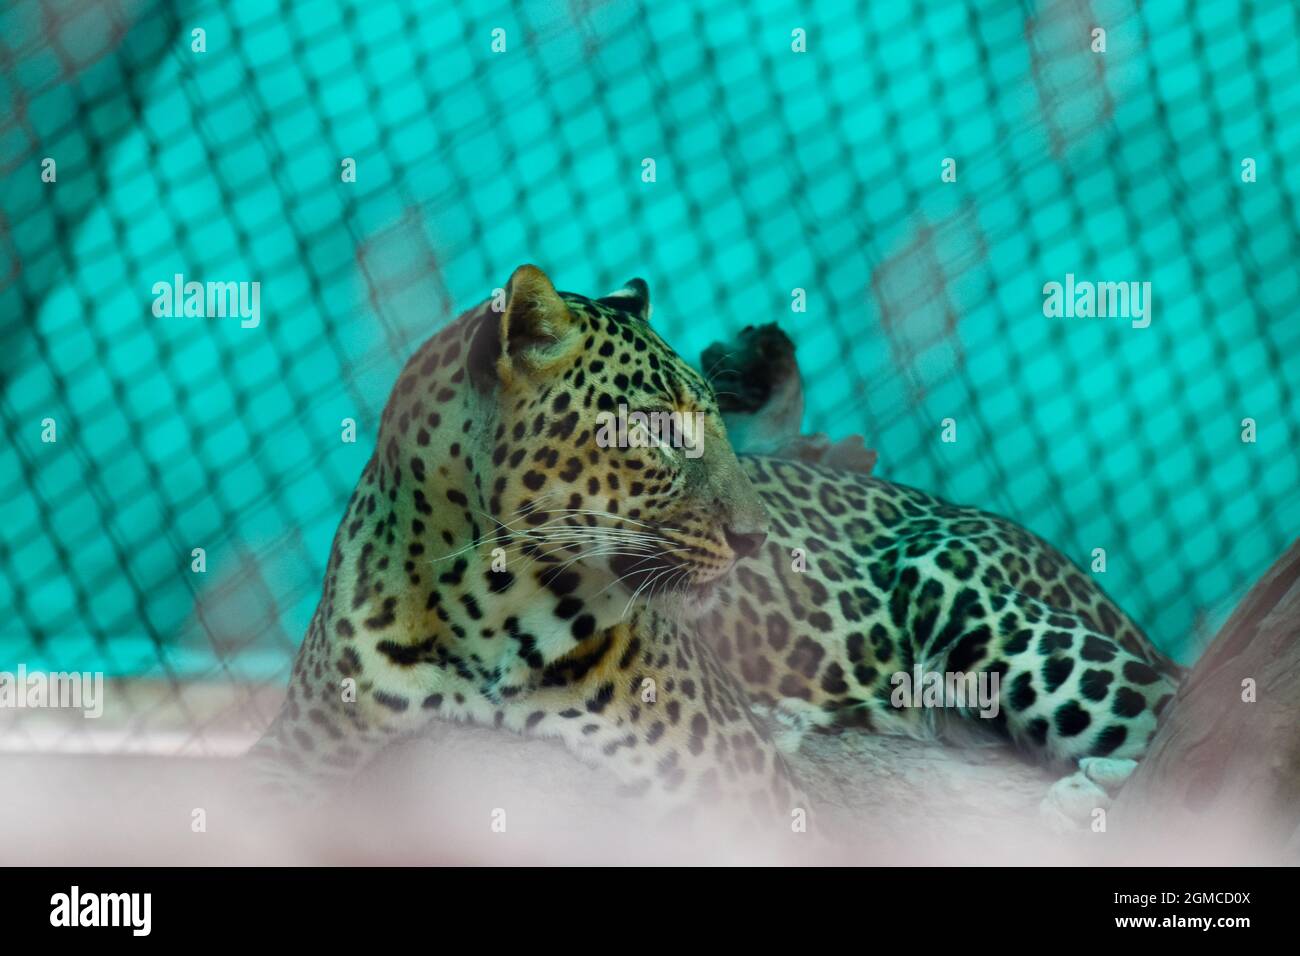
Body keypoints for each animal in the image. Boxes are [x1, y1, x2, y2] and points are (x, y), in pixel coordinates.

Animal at [245, 261, 1190, 832]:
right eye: (660, 431)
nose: (754, 537)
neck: (487, 609)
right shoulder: (292, 769)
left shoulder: (738, 793)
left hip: (964, 589)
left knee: (1163, 707)